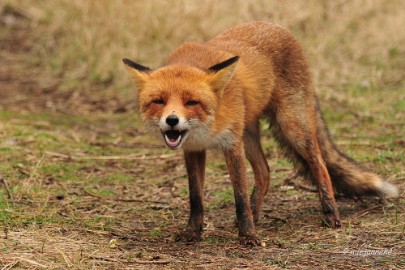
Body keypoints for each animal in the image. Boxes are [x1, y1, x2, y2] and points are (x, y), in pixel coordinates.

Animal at [121, 20, 396, 245]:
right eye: (159, 101)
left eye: (191, 102)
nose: (172, 121)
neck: (208, 127)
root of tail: (281, 28)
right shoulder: (194, 150)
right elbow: (196, 198)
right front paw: (192, 232)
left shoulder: (231, 144)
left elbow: (240, 196)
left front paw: (248, 236)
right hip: (250, 134)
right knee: (265, 172)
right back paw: (257, 213)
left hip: (292, 127)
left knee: (319, 164)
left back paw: (330, 213)